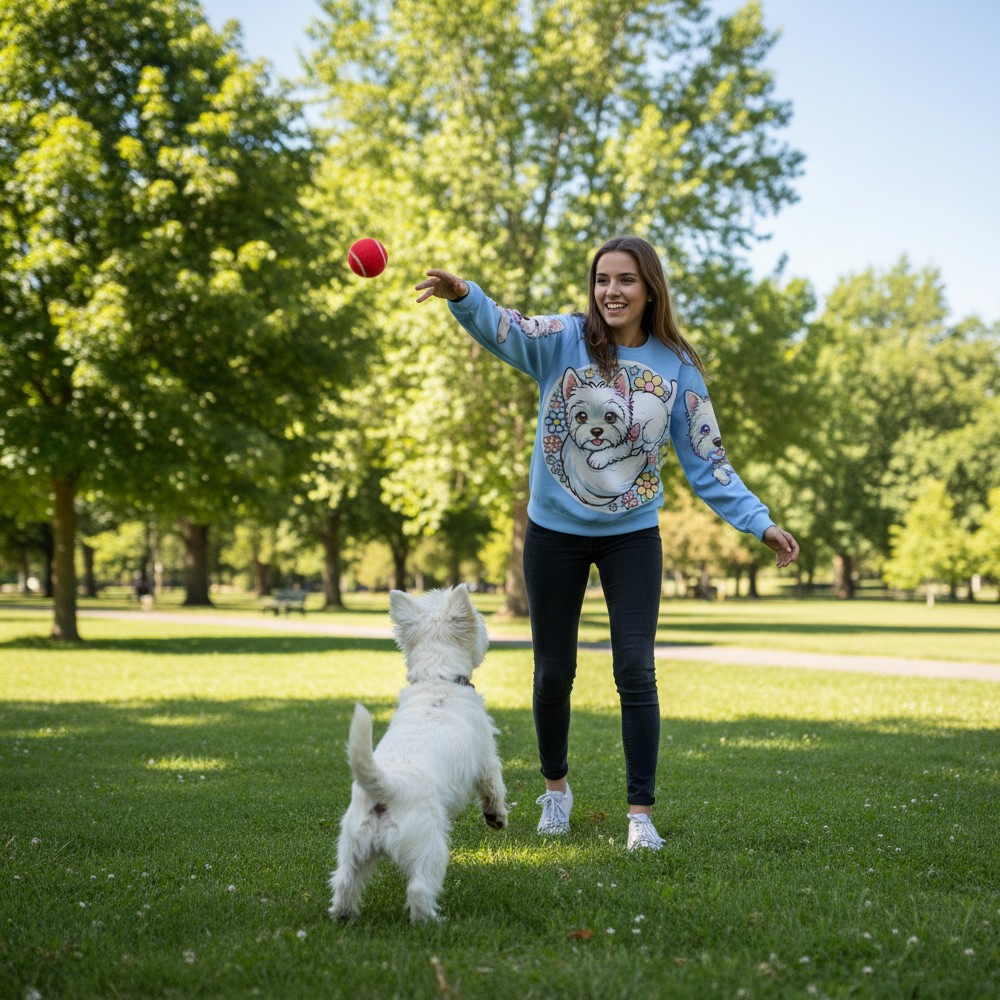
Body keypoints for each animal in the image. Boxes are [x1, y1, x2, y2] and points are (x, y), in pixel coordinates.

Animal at [329, 585, 507, 923]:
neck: (438, 679)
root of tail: (387, 790)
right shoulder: (487, 757)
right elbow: (493, 787)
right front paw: (496, 817)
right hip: (430, 846)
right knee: (420, 888)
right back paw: (432, 921)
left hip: (352, 844)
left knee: (345, 881)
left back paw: (345, 914)